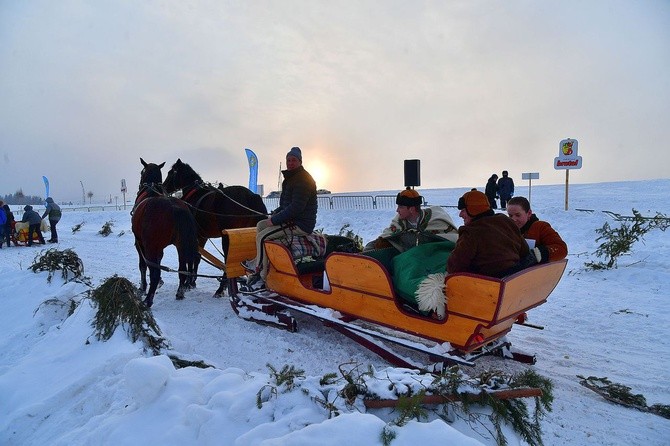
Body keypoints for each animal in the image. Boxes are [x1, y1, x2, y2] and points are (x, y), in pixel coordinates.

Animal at [131, 158, 200, 306]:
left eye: (141, 172)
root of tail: (175, 208)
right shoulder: (159, 247)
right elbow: (158, 260)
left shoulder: (140, 243)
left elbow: (143, 266)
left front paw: (142, 287)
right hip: (181, 246)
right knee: (182, 270)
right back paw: (180, 292)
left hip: (150, 246)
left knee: (154, 272)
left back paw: (148, 300)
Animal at [163, 159, 268, 294]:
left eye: (170, 173)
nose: (163, 186)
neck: (194, 194)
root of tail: (251, 196)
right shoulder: (202, 236)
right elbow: (197, 258)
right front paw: (192, 282)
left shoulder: (194, 235)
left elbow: (193, 256)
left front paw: (188, 282)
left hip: (227, 237)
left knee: (227, 259)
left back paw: (221, 288)